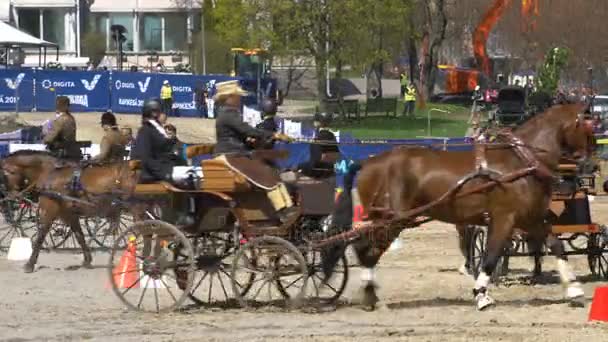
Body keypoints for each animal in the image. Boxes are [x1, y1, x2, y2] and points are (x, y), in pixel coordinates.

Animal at [0, 151, 137, 274]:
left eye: (5, 174)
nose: (11, 197)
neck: (50, 173)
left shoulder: (49, 212)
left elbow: (41, 236)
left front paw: (30, 264)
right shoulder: (69, 215)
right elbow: (79, 236)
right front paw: (87, 260)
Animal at [324, 103, 592, 310]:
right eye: (590, 124)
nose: (589, 165)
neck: (520, 162)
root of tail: (368, 162)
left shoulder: (531, 218)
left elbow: (556, 246)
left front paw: (575, 290)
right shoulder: (503, 218)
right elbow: (491, 256)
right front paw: (481, 295)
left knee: (364, 248)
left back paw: (369, 294)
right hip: (393, 219)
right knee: (366, 248)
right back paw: (369, 293)